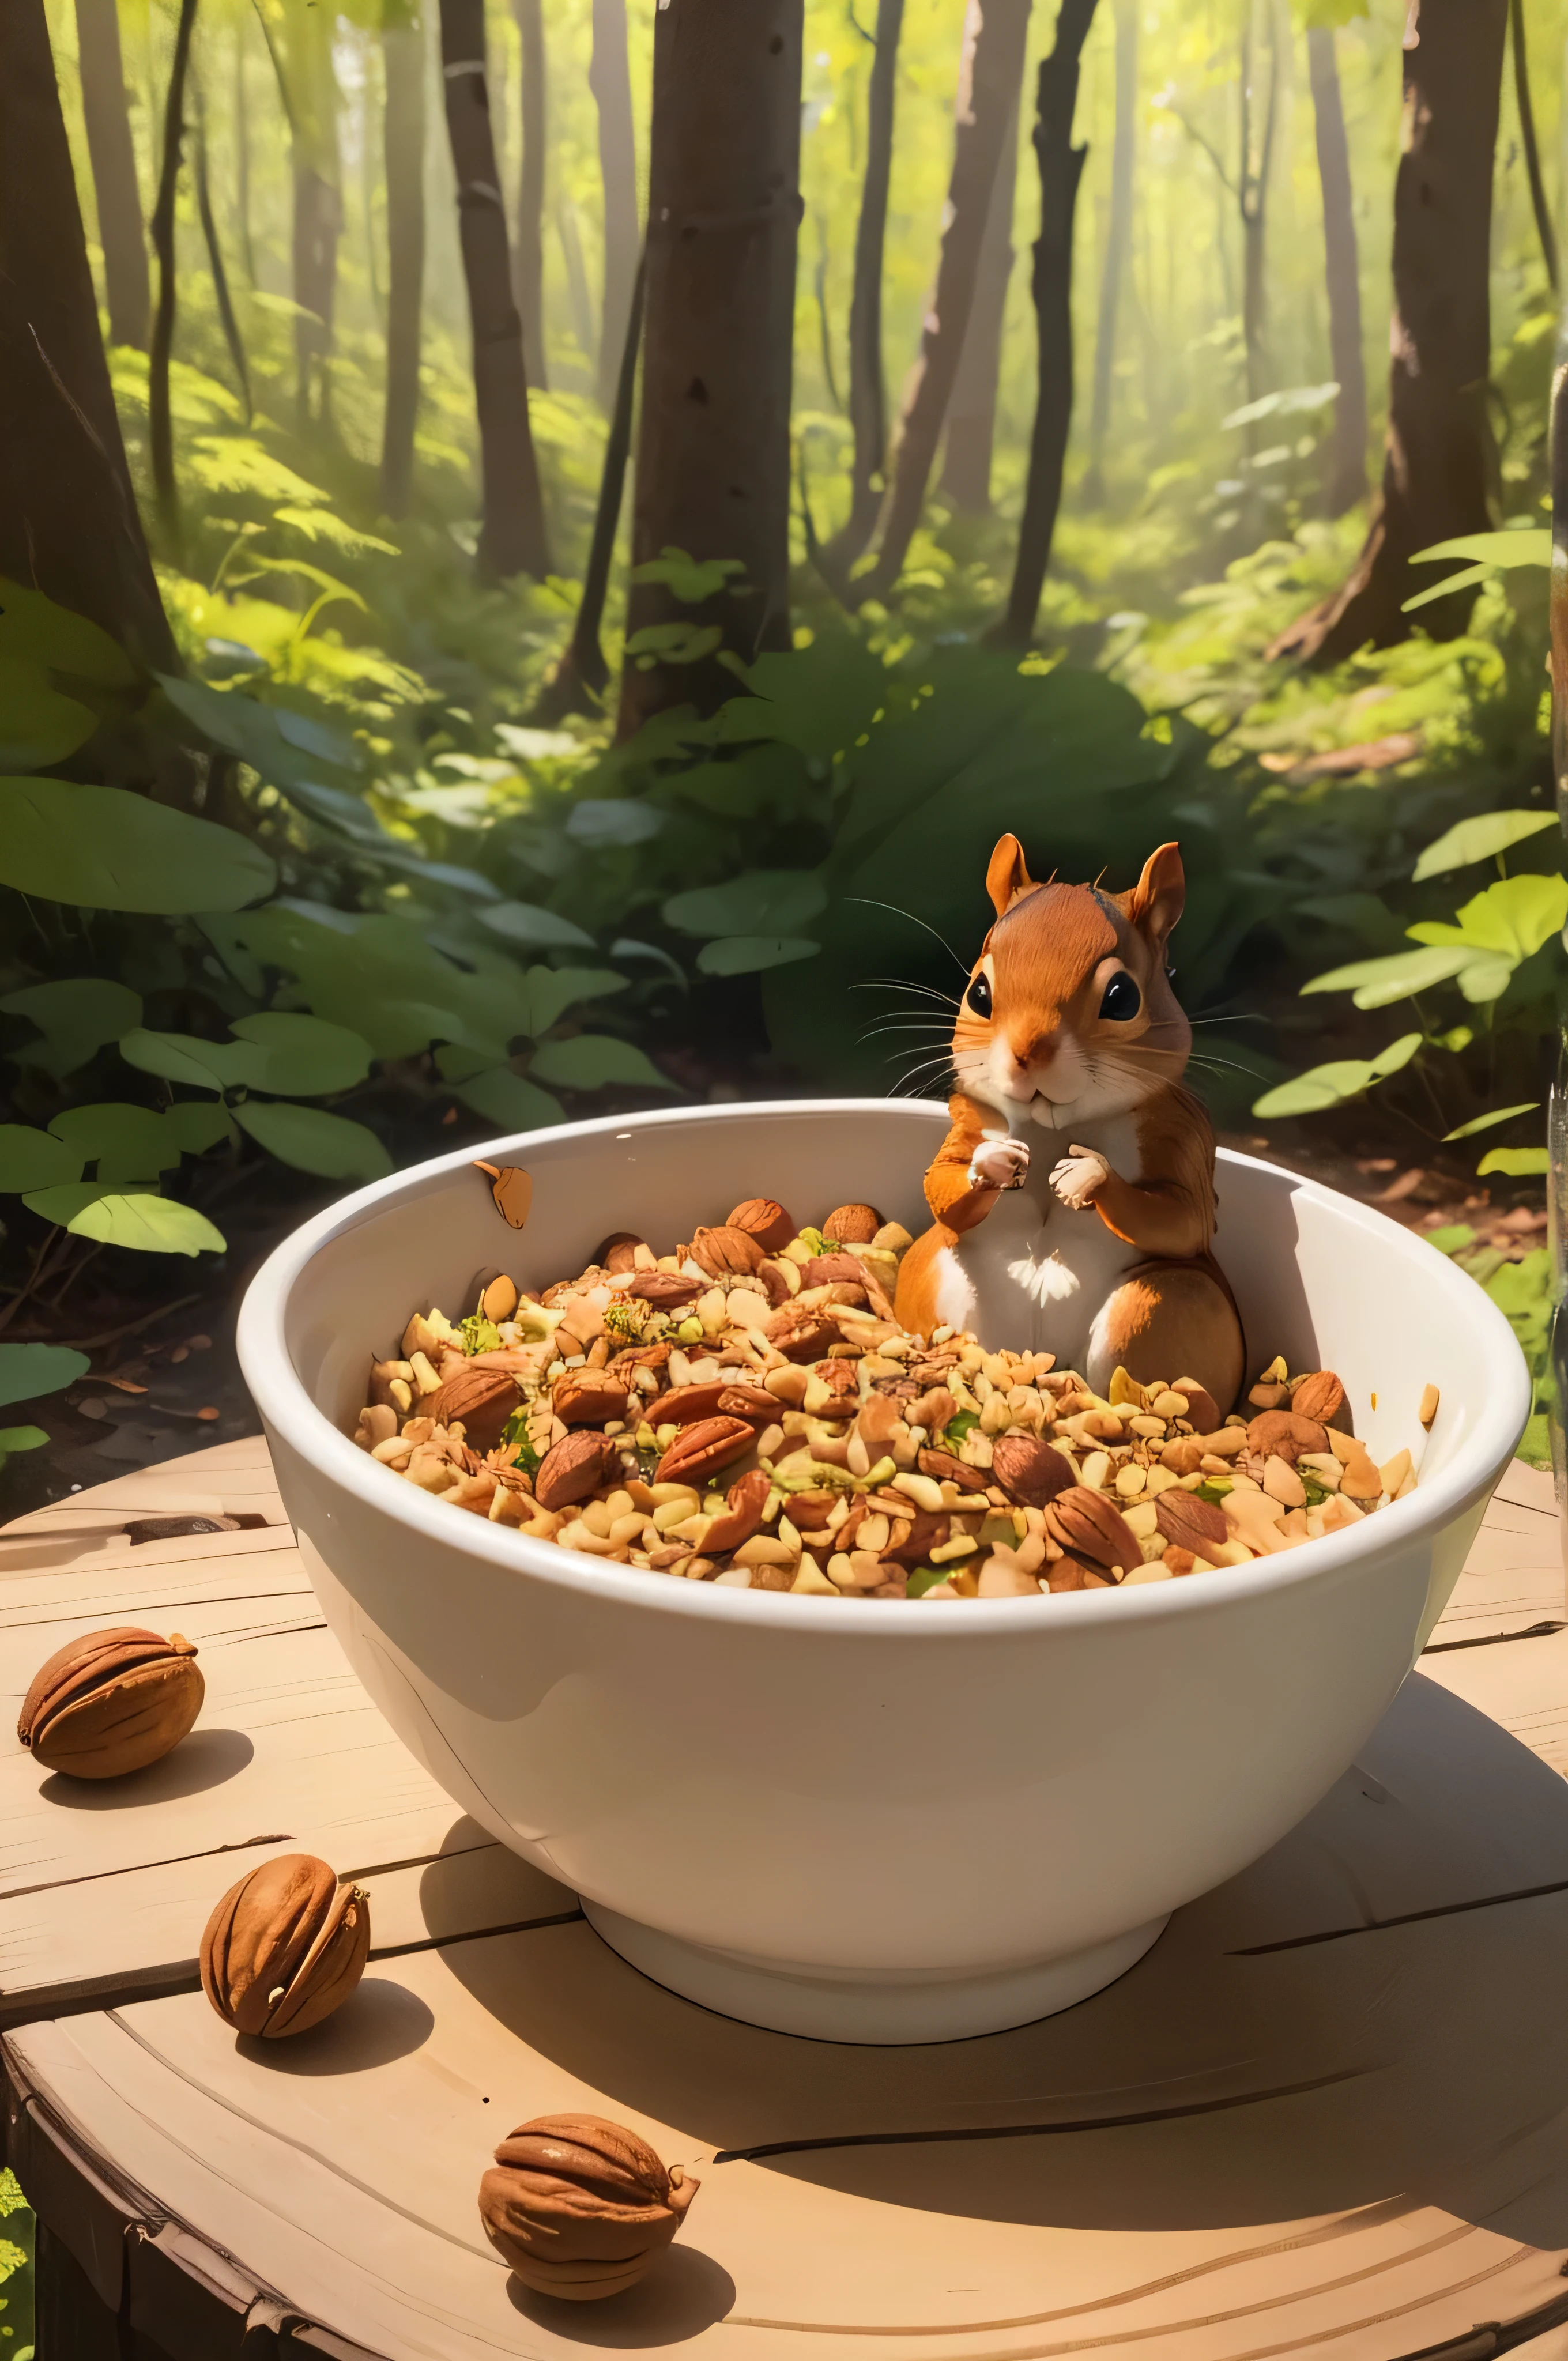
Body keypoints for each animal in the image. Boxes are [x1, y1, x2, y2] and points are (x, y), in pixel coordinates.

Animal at [902, 835, 1246, 1416]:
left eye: (1123, 998)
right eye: (978, 993)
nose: (1027, 1054)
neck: (1054, 1126)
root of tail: (1042, 1354)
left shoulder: (1183, 1138)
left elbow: (1185, 1220)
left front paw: (1088, 1177)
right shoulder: (971, 1119)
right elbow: (941, 1183)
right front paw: (995, 1163)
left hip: (1168, 1309)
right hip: (934, 1277)